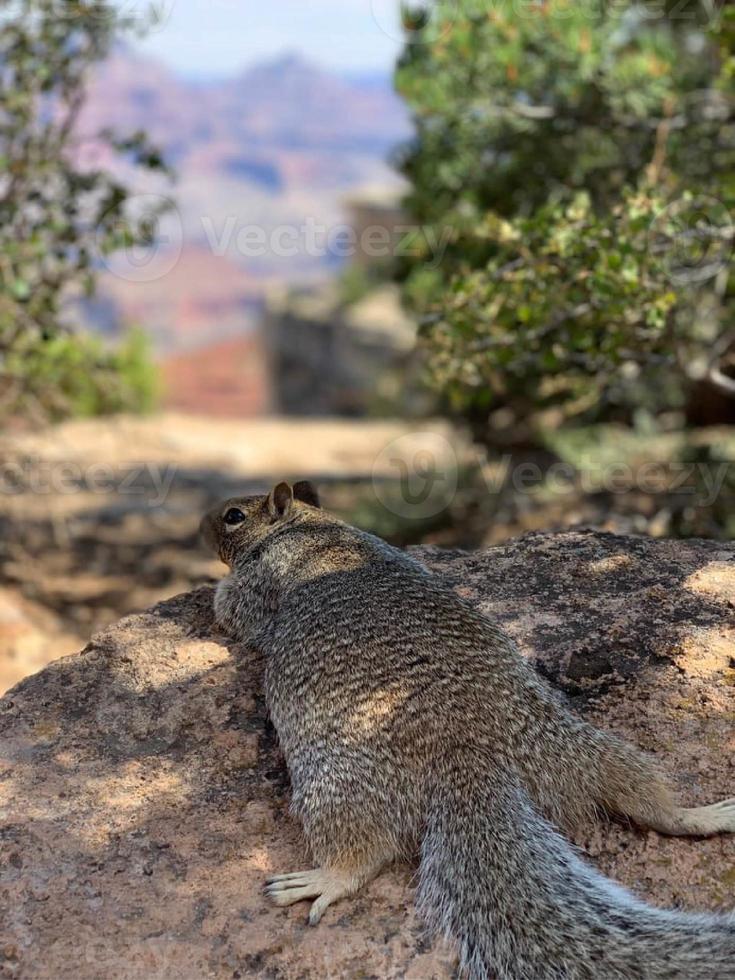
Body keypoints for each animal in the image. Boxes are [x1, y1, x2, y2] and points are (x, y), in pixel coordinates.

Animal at [200, 482, 735, 980]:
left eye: (233, 516)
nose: (202, 524)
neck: (309, 526)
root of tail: (472, 761)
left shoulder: (257, 584)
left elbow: (233, 609)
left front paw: (212, 593)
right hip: (583, 749)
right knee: (646, 800)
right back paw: (700, 816)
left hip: (333, 787)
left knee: (364, 853)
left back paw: (325, 879)